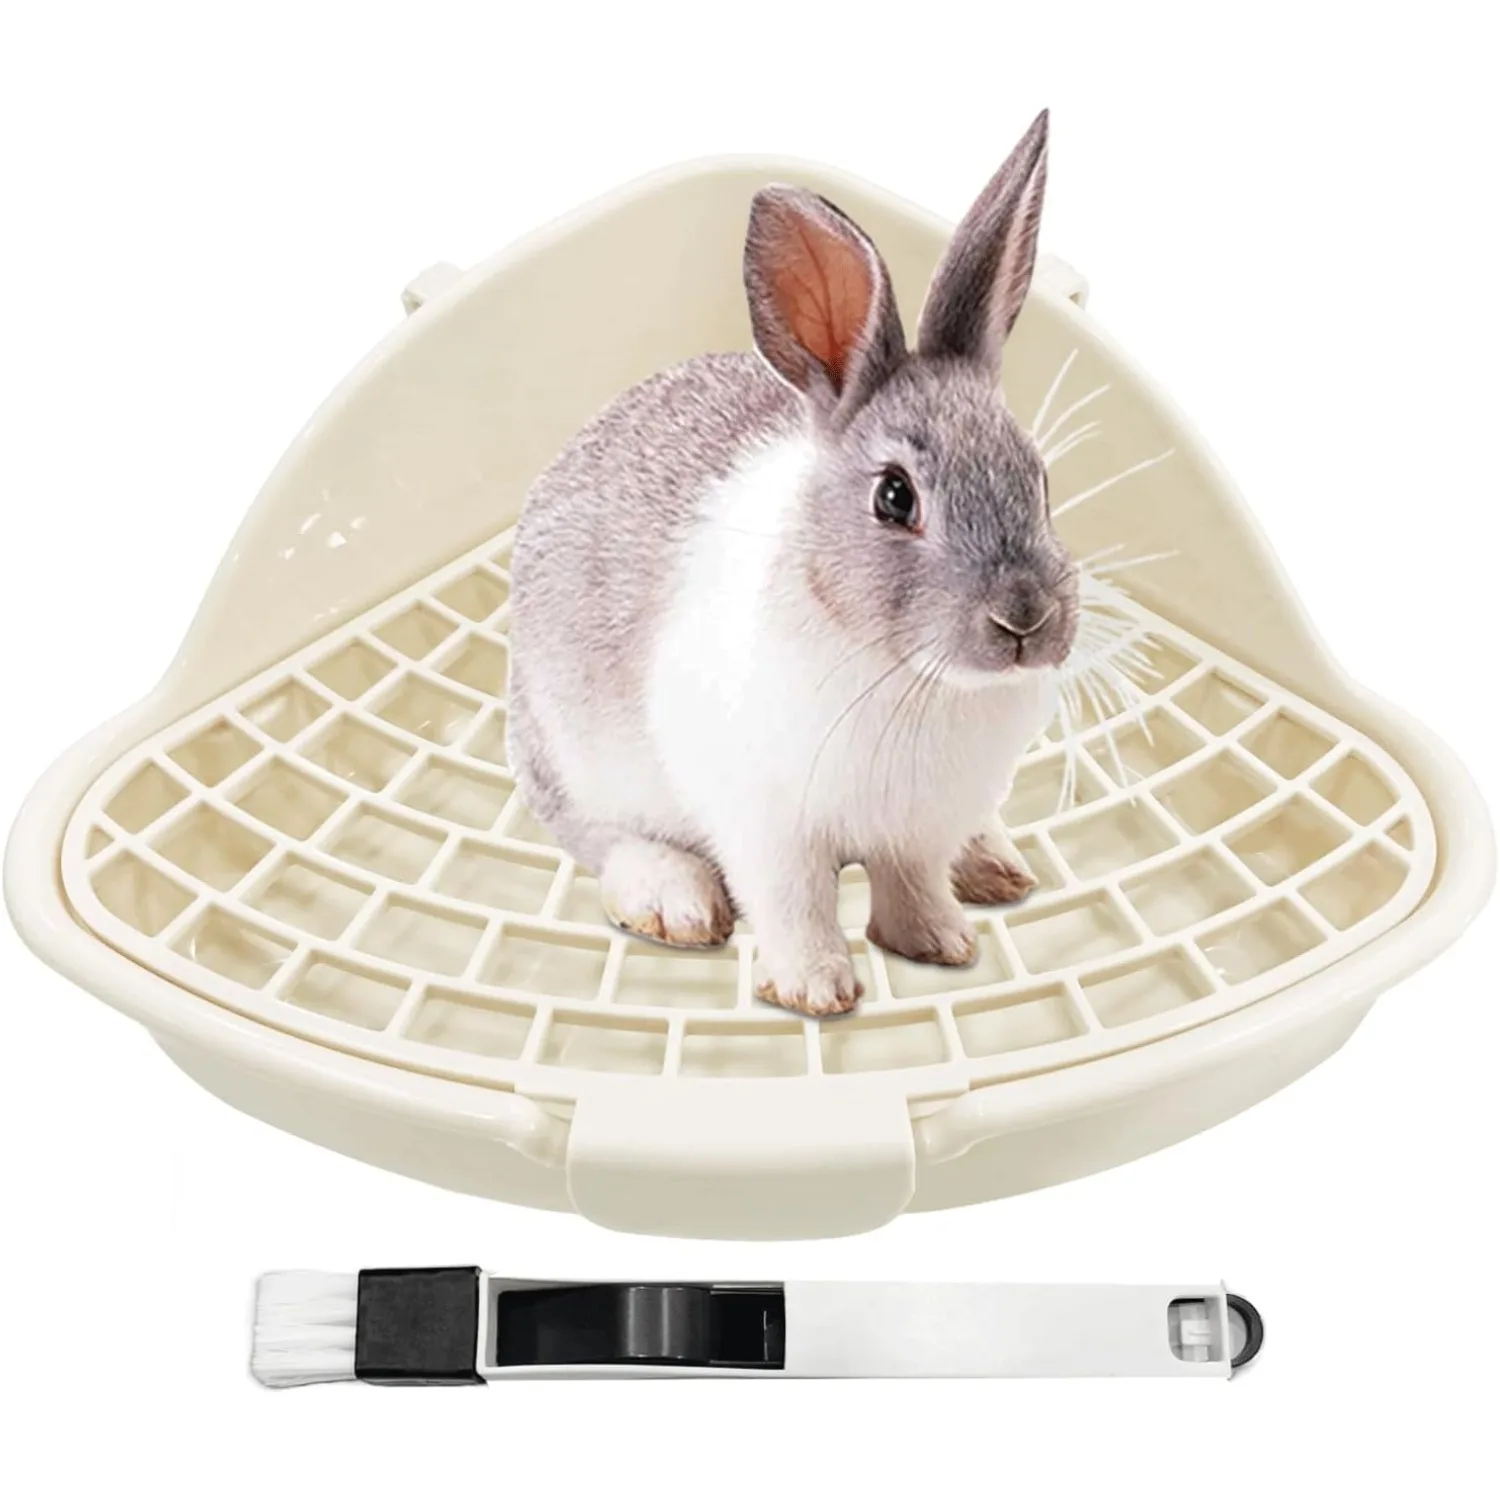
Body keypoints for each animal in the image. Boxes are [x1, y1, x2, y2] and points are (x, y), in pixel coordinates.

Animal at [507, 109, 1078, 1017]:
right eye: (894, 498)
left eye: (1041, 479)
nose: (1025, 619)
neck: (910, 677)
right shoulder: (766, 825)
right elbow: (794, 901)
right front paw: (815, 991)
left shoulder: (917, 828)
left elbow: (911, 884)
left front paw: (940, 943)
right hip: (574, 759)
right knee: (602, 836)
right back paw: (675, 900)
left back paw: (993, 866)